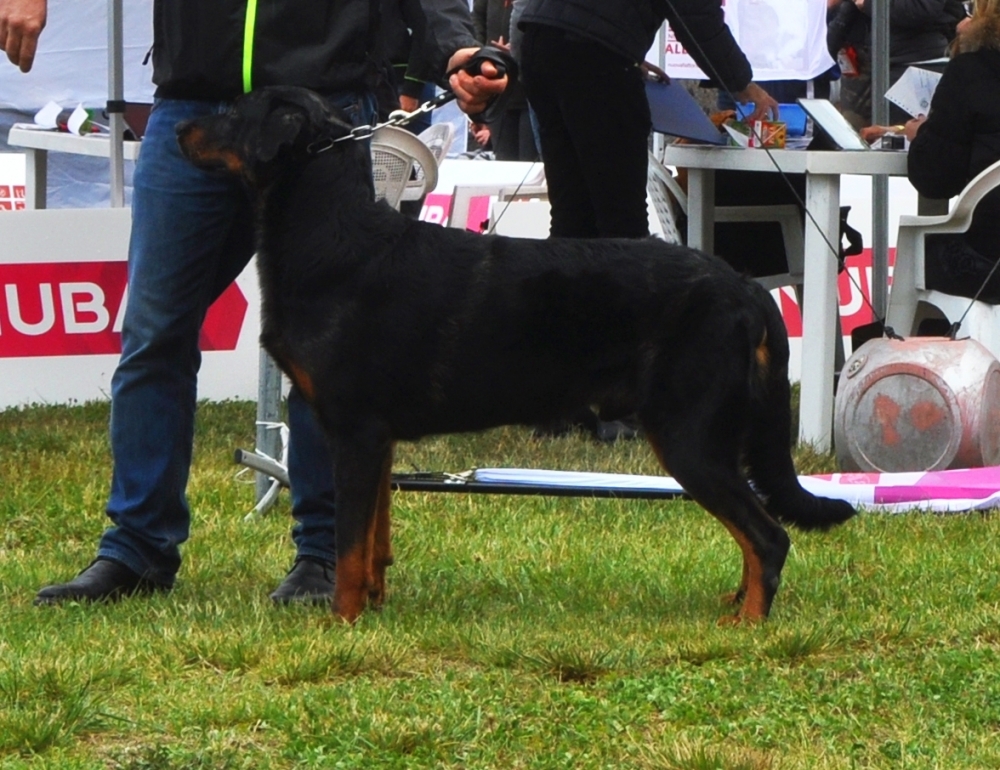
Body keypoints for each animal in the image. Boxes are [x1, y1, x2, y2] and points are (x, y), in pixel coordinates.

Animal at [176, 85, 856, 624]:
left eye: (233, 113)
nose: (180, 128)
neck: (330, 236)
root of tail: (744, 287)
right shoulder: (377, 440)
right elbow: (373, 540)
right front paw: (372, 604)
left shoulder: (354, 430)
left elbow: (347, 544)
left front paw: (341, 621)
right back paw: (734, 602)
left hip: (689, 435)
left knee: (767, 536)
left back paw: (748, 622)